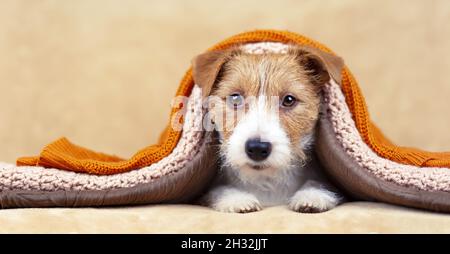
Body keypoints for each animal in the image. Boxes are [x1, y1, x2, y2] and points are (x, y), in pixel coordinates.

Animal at [192, 43, 344, 212]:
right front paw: (236, 199)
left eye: (289, 100)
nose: (257, 148)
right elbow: (217, 189)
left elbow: (319, 182)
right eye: (235, 97)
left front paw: (312, 195)